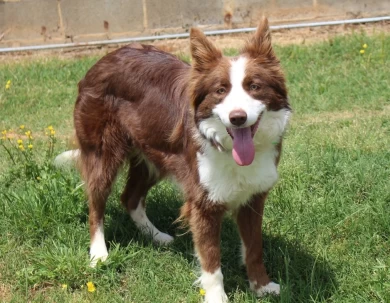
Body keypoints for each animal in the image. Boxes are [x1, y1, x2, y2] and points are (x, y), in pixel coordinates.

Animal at [56, 17, 290, 302]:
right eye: (220, 90)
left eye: (254, 86)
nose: (238, 118)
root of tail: (103, 59)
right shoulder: (203, 203)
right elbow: (211, 261)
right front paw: (217, 296)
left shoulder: (254, 196)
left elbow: (255, 248)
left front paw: (261, 286)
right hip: (104, 153)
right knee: (96, 203)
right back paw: (99, 253)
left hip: (154, 157)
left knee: (130, 197)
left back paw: (156, 236)